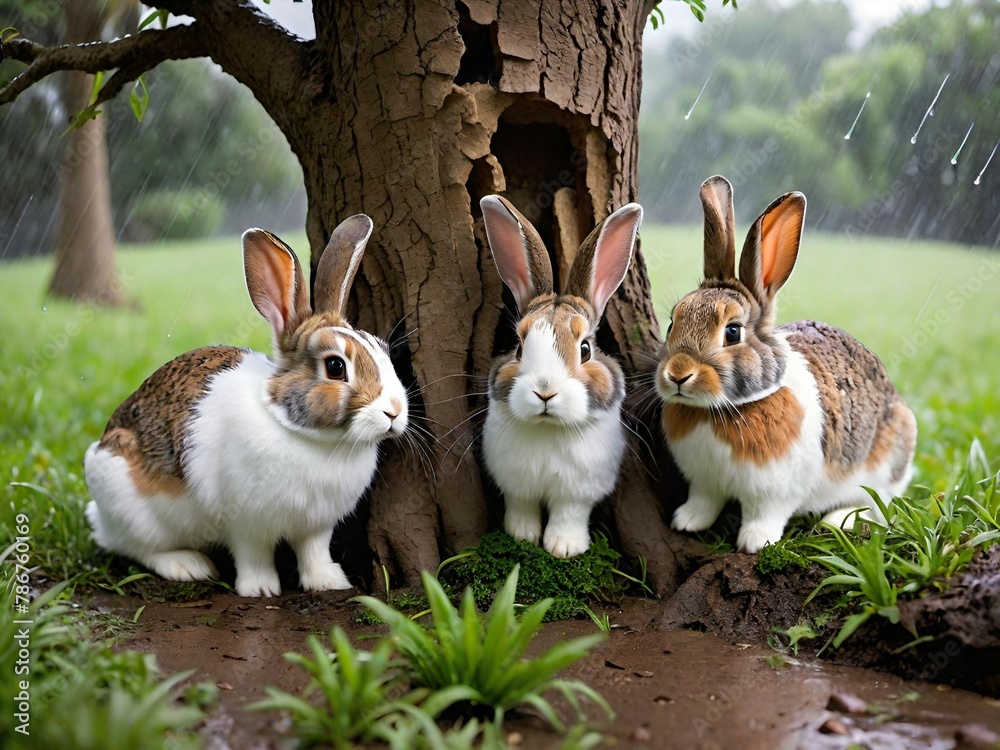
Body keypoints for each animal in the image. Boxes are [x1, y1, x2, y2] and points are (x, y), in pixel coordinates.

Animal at [84, 216, 408, 596]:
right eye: (335, 366)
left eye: (382, 348)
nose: (394, 412)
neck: (305, 435)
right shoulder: (246, 523)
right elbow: (253, 555)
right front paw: (261, 589)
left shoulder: (316, 525)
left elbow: (313, 552)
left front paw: (329, 583)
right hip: (128, 500)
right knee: (137, 548)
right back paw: (187, 565)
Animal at [479, 195, 643, 558]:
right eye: (519, 347)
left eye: (585, 349)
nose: (545, 391)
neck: (548, 429)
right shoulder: (517, 485)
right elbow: (522, 506)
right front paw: (522, 536)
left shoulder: (578, 491)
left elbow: (569, 514)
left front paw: (564, 548)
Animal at [656, 175, 917, 553]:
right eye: (671, 324)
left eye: (732, 332)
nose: (677, 375)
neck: (719, 412)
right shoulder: (705, 481)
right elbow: (704, 501)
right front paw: (687, 522)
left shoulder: (774, 493)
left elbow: (764, 514)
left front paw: (754, 542)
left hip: (881, 466)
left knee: (876, 504)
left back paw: (837, 521)